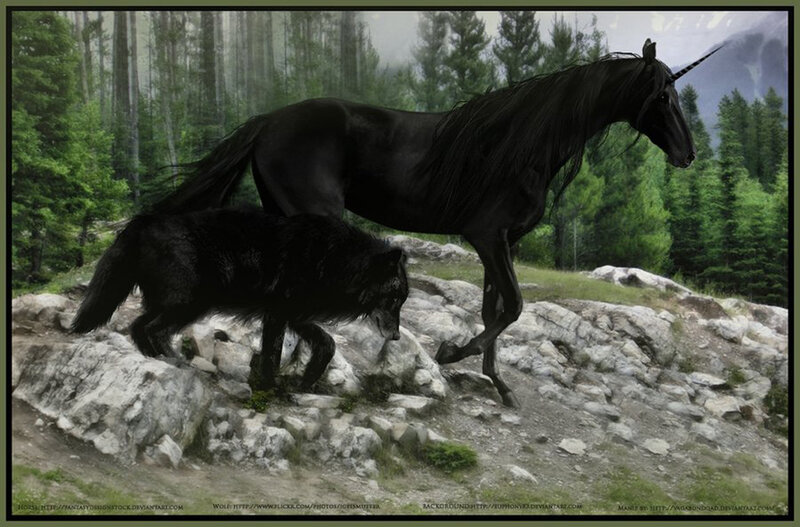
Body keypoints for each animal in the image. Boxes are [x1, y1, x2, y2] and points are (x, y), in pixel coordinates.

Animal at [71, 207, 409, 391]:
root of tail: (144, 220)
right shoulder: (278, 314)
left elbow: (328, 344)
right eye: (394, 299)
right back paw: (174, 361)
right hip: (190, 304)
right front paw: (270, 388)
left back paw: (158, 359)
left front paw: (306, 380)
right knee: (151, 328)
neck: (335, 259)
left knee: (139, 327)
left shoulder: (295, 315)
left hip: (176, 304)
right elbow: (272, 355)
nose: (395, 337)